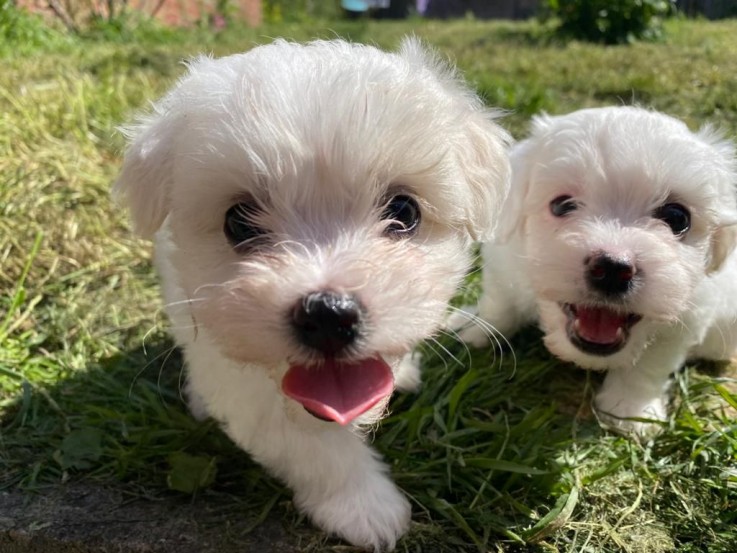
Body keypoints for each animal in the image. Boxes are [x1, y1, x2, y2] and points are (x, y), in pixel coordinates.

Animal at [115, 37, 512, 548]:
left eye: (405, 211)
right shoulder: (249, 391)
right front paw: (367, 508)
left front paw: (399, 370)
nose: (328, 314)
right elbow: (315, 450)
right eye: (238, 222)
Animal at [460, 106, 736, 436]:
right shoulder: (504, 266)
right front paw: (473, 329)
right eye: (562, 205)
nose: (613, 268)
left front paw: (631, 412)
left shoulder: (686, 320)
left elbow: (647, 366)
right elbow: (499, 306)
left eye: (677, 217)